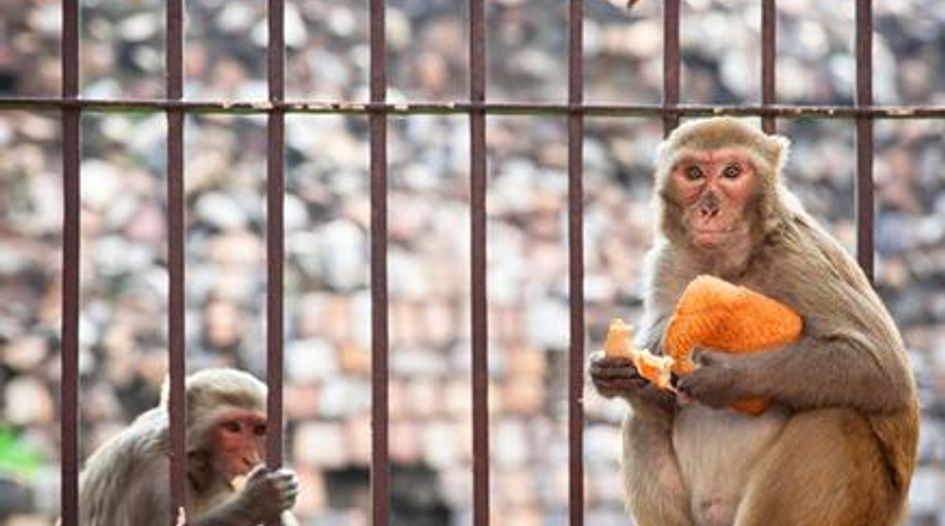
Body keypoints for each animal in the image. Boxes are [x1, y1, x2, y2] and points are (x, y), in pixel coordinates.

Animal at [589, 117, 919, 526]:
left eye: (732, 172)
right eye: (694, 173)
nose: (709, 208)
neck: (730, 267)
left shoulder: (799, 260)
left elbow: (880, 369)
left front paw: (726, 378)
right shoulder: (666, 263)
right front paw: (616, 373)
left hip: (867, 504)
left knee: (834, 419)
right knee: (641, 423)